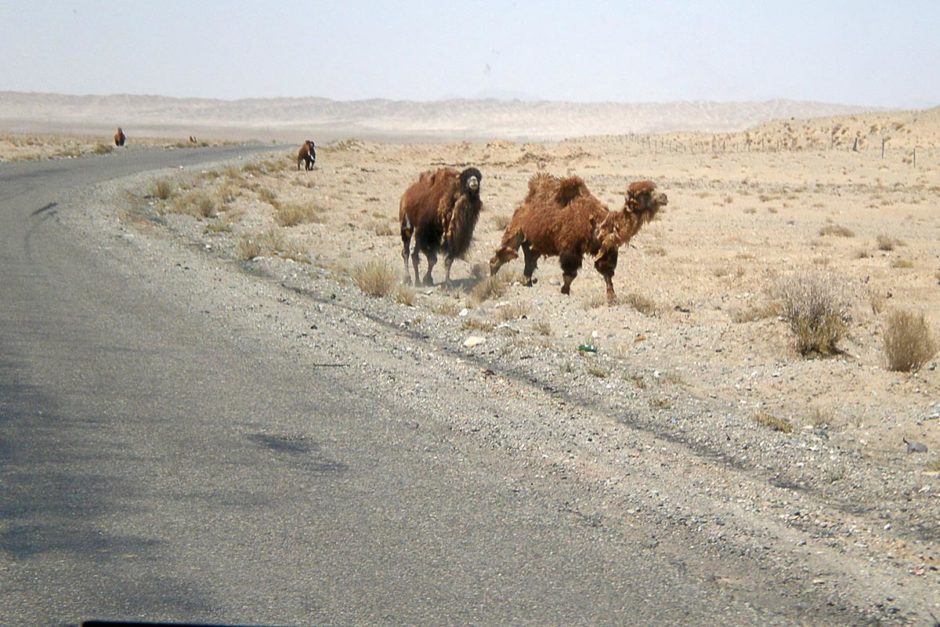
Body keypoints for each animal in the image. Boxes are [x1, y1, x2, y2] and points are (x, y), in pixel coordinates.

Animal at [488, 174, 664, 302]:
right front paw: (564, 292)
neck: (599, 223)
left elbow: (607, 272)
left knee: (530, 257)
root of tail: (523, 207)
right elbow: (569, 274)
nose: (664, 197)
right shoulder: (570, 248)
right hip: (516, 230)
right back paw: (492, 278)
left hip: (535, 241)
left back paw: (527, 282)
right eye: (644, 193)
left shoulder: (605, 249)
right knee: (505, 253)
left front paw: (612, 297)